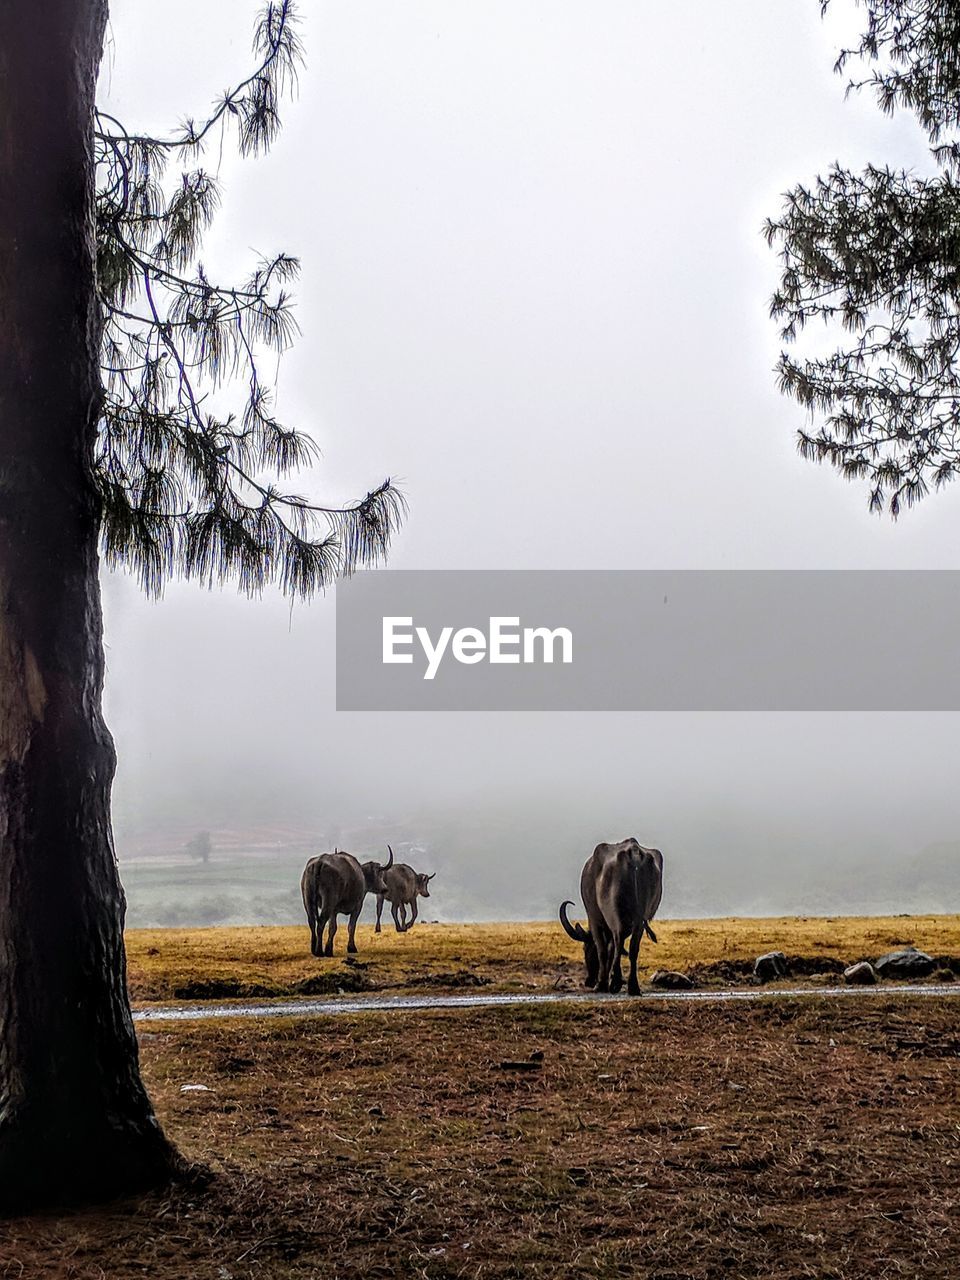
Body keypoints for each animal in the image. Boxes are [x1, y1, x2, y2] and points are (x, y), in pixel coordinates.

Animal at [560, 839, 665, 998]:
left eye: (585, 949)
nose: (589, 981)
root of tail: (633, 853)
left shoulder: (594, 919)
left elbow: (603, 950)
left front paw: (601, 984)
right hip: (641, 918)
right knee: (633, 947)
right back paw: (633, 986)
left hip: (613, 912)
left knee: (618, 937)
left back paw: (615, 982)